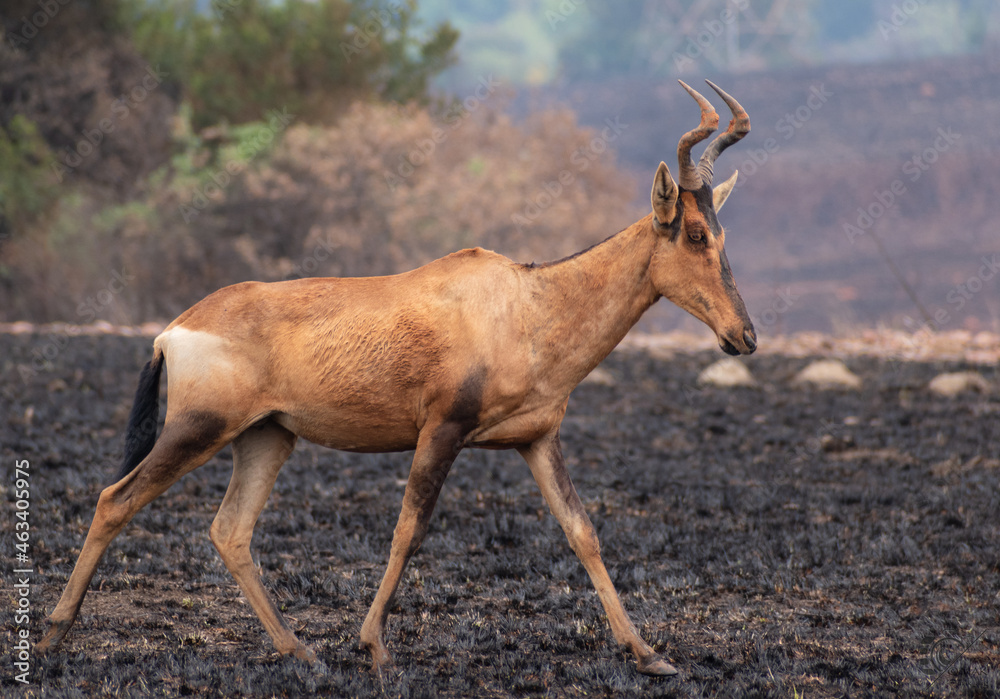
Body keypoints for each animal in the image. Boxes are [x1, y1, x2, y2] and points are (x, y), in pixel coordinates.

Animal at [37, 80, 756, 676]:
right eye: (694, 233)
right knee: (116, 498)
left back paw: (298, 649)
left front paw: (649, 654)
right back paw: (52, 634)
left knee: (230, 530)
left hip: (267, 436)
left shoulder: (536, 440)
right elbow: (410, 528)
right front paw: (374, 644)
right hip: (197, 429)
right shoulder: (441, 429)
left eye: (723, 233)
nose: (743, 336)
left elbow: (583, 533)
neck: (525, 303)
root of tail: (175, 329)